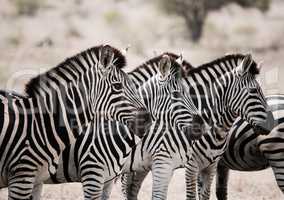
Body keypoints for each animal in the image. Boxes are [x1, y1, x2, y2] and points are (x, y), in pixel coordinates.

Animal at [120, 53, 270, 200]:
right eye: (253, 91)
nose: (270, 125)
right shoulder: (191, 165)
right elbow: (191, 195)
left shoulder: (211, 166)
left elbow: (205, 195)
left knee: (133, 188)